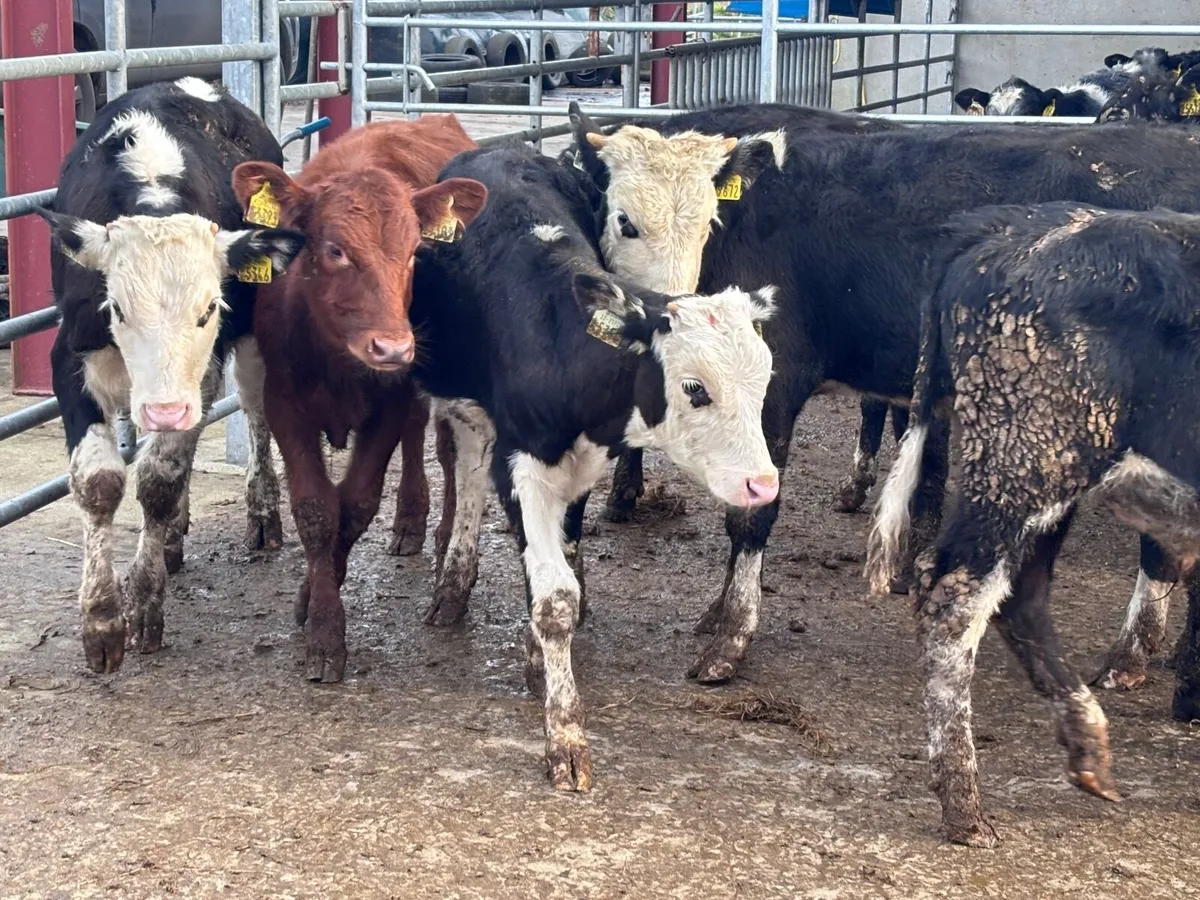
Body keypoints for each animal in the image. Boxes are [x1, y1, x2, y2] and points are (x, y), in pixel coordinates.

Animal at [38, 78, 304, 674]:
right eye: (116, 307)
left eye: (209, 308)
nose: (163, 410)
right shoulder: (71, 359)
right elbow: (99, 482)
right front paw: (101, 620)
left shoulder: (200, 370)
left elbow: (158, 480)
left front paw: (143, 603)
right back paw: (175, 535)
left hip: (248, 342)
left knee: (254, 408)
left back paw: (261, 512)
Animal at [231, 115, 488, 683]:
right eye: (334, 250)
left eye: (415, 252)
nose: (392, 347)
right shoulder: (285, 405)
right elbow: (315, 510)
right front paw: (318, 613)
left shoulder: (387, 406)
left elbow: (356, 505)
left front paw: (321, 611)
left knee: (443, 450)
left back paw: (435, 533)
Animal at [409, 142, 778, 791]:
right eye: (694, 388)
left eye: (764, 381)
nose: (762, 483)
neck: (556, 338)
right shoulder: (520, 463)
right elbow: (553, 598)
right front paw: (564, 737)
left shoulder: (584, 462)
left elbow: (565, 564)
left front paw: (540, 658)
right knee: (470, 463)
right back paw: (452, 584)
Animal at [567, 105, 1200, 688]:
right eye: (626, 222)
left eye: (708, 222)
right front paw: (717, 612)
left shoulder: (773, 387)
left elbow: (750, 515)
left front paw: (731, 636)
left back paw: (1134, 655)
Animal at [864, 202, 1200, 848]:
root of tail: (1003, 232)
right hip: (1026, 460)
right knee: (956, 597)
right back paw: (965, 808)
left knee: (1022, 592)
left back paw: (1085, 743)